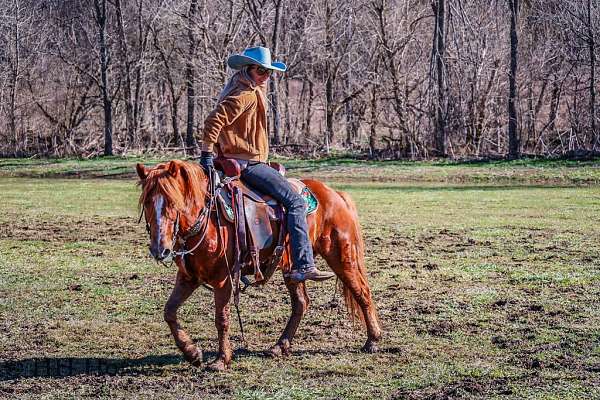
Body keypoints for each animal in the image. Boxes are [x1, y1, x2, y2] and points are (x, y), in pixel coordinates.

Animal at [135, 159, 380, 372]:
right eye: (147, 202)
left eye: (172, 201)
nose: (160, 250)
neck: (207, 217)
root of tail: (336, 194)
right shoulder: (188, 277)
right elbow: (169, 311)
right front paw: (192, 353)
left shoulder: (223, 278)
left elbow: (221, 318)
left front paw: (221, 359)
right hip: (292, 269)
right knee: (301, 303)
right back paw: (279, 346)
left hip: (341, 257)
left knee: (362, 292)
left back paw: (372, 340)